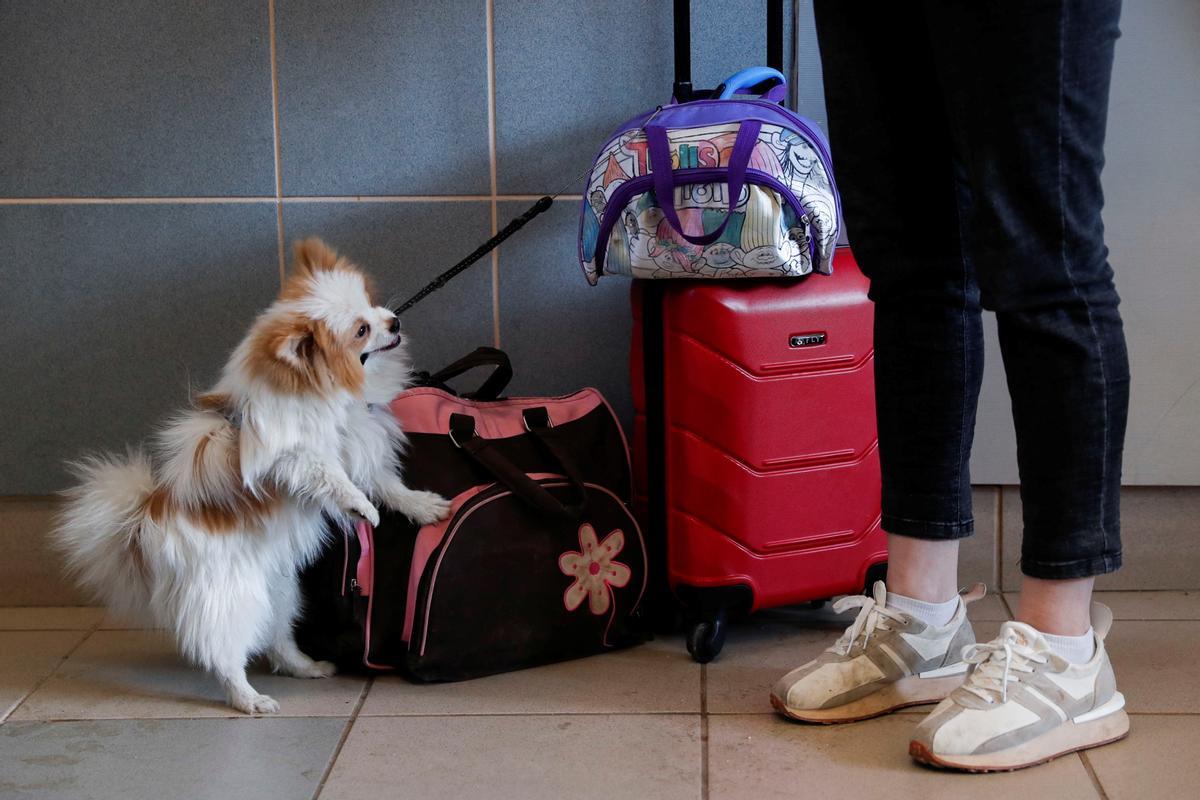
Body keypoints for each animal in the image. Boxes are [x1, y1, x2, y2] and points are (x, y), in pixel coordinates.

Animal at [54, 237, 451, 714]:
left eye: (371, 305)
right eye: (361, 330)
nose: (394, 320)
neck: (322, 392)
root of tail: (143, 525)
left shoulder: (358, 445)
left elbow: (388, 484)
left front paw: (423, 506)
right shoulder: (288, 457)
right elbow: (329, 475)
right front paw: (361, 508)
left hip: (280, 591)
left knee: (277, 639)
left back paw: (305, 666)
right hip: (232, 600)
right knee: (224, 654)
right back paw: (248, 699)